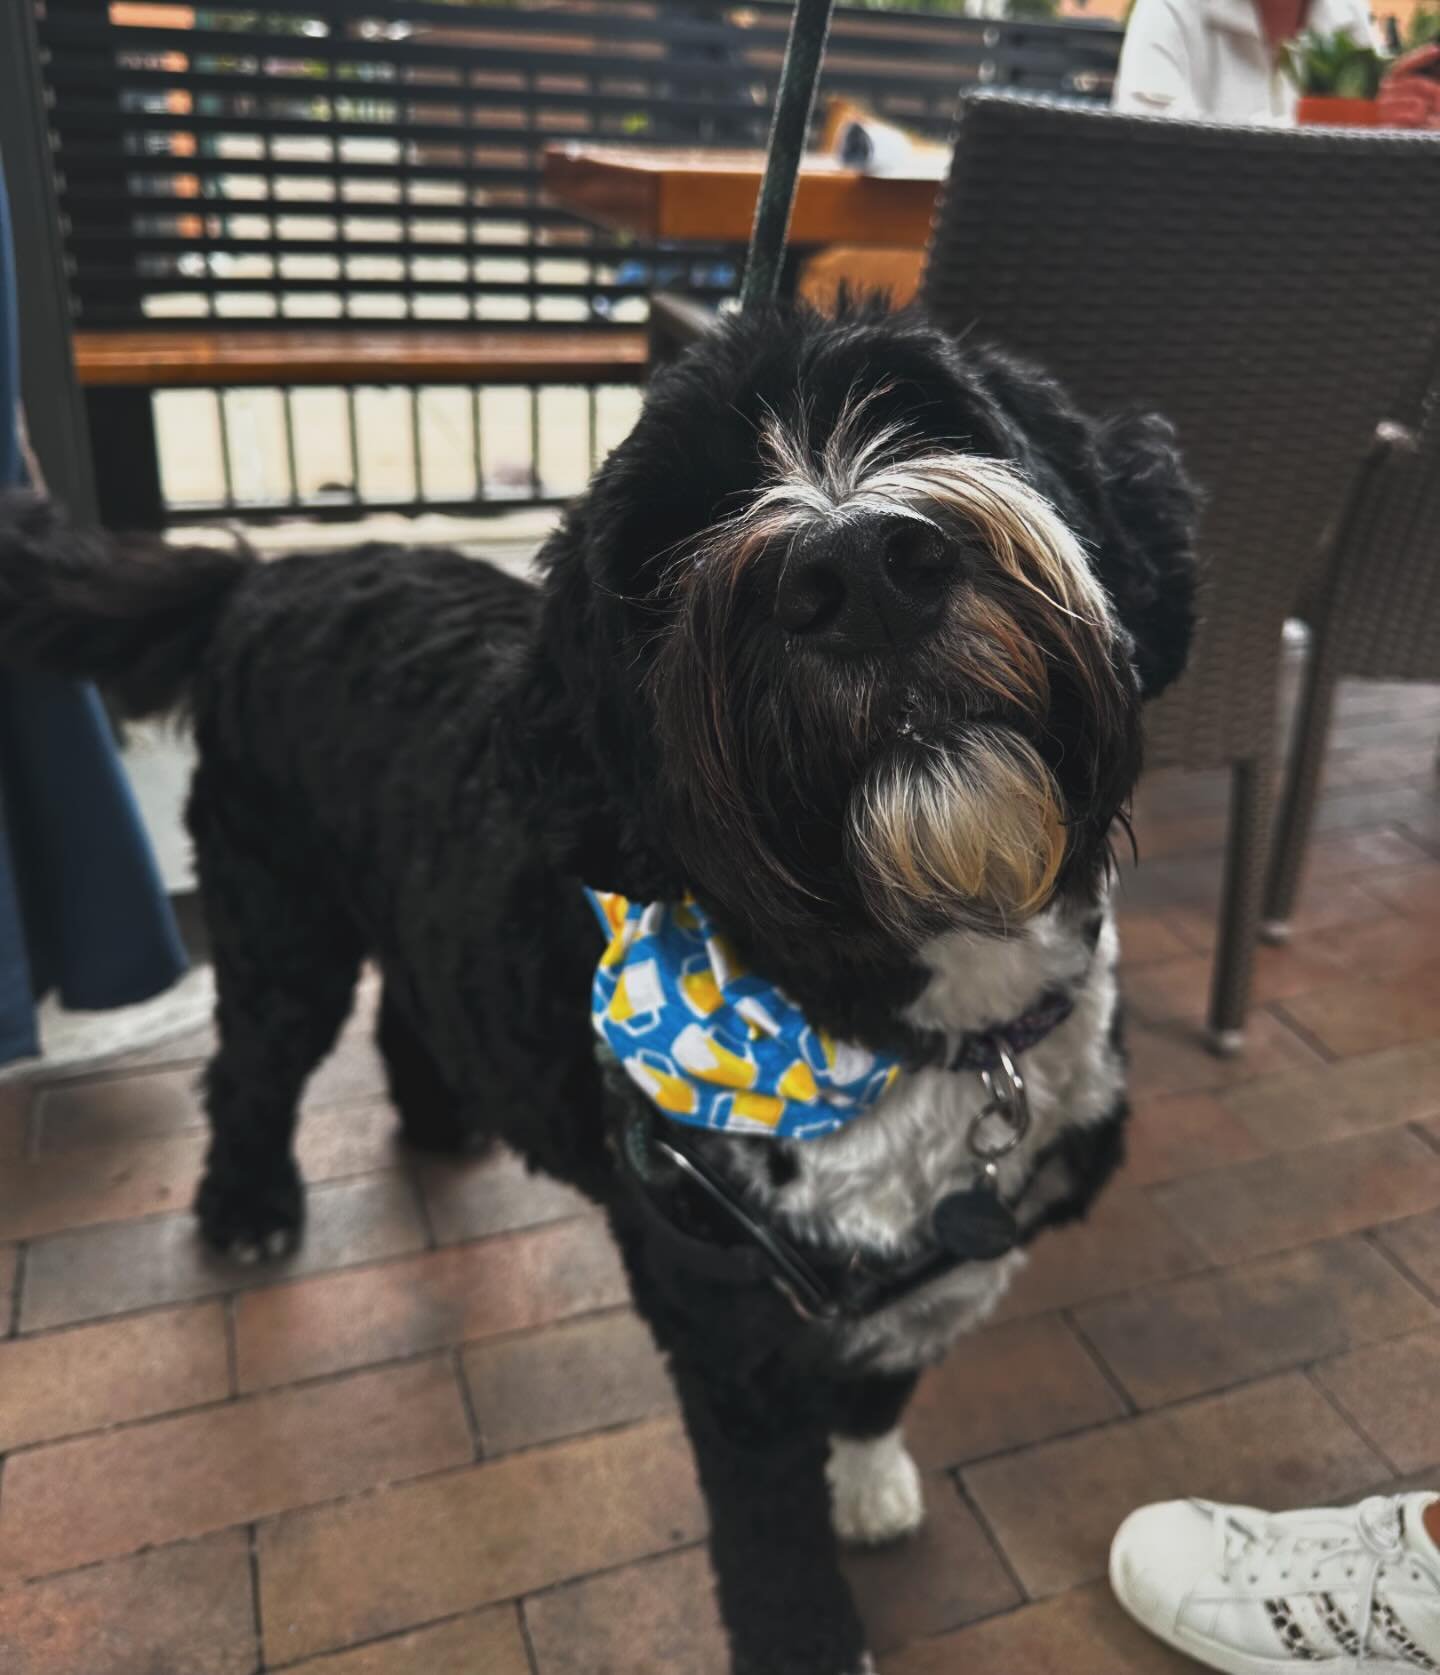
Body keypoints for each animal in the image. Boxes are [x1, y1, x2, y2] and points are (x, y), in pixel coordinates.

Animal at [0, 304, 1192, 1675]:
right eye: (669, 545)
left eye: (934, 419)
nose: (860, 570)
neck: (903, 1015)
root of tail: (259, 575)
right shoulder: (725, 1332)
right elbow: (767, 1532)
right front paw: (810, 1630)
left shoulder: (925, 1273)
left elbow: (881, 1375)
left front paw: (869, 1472)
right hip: (275, 918)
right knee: (251, 1066)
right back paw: (247, 1206)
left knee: (414, 1005)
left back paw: (441, 1118)